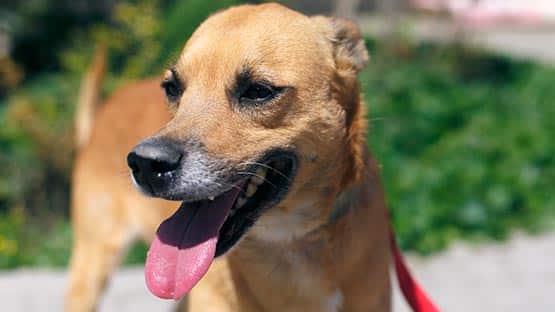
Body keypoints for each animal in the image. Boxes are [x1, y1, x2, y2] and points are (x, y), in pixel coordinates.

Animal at [66, 3, 390, 312]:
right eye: (172, 88)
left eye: (258, 91)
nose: (145, 164)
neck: (288, 237)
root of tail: (107, 106)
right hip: (91, 264)